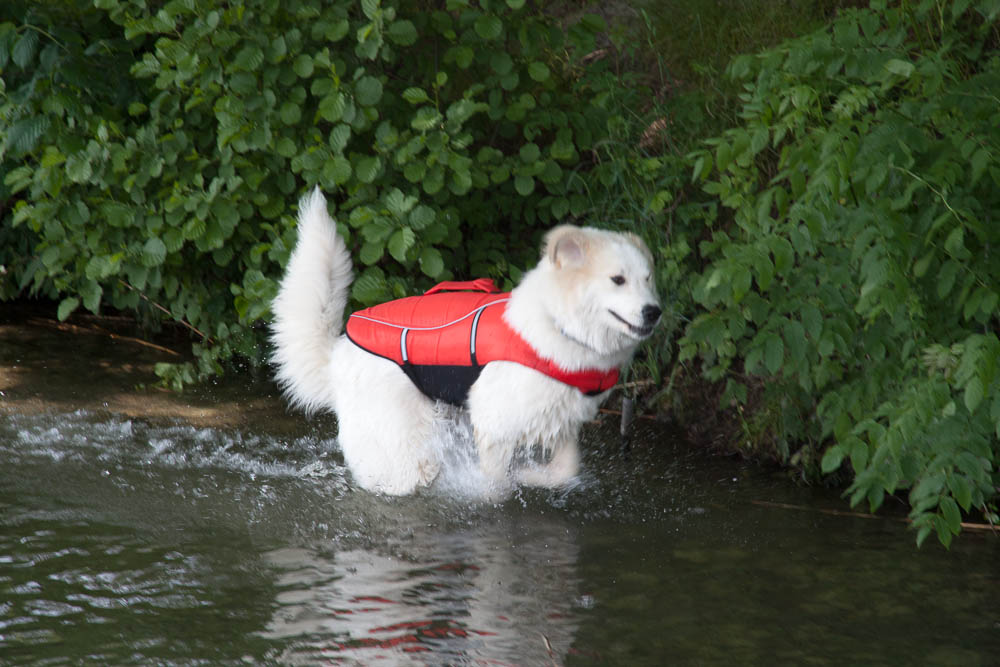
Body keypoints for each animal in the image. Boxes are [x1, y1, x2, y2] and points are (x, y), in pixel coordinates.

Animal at [272, 188, 664, 496]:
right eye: (617, 280)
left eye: (648, 279)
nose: (654, 312)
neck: (560, 326)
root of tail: (337, 353)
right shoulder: (493, 421)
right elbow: (496, 487)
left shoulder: (560, 420)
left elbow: (565, 472)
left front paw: (531, 476)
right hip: (405, 441)